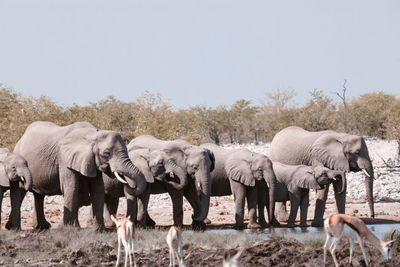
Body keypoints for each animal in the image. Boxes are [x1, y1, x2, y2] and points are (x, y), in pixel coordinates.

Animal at [10, 121, 147, 230]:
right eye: (107, 153)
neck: (92, 134)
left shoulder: (91, 161)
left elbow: (98, 189)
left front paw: (98, 229)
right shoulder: (64, 159)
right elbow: (71, 188)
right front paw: (68, 229)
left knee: (39, 195)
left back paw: (42, 227)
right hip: (19, 157)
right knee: (21, 191)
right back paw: (14, 228)